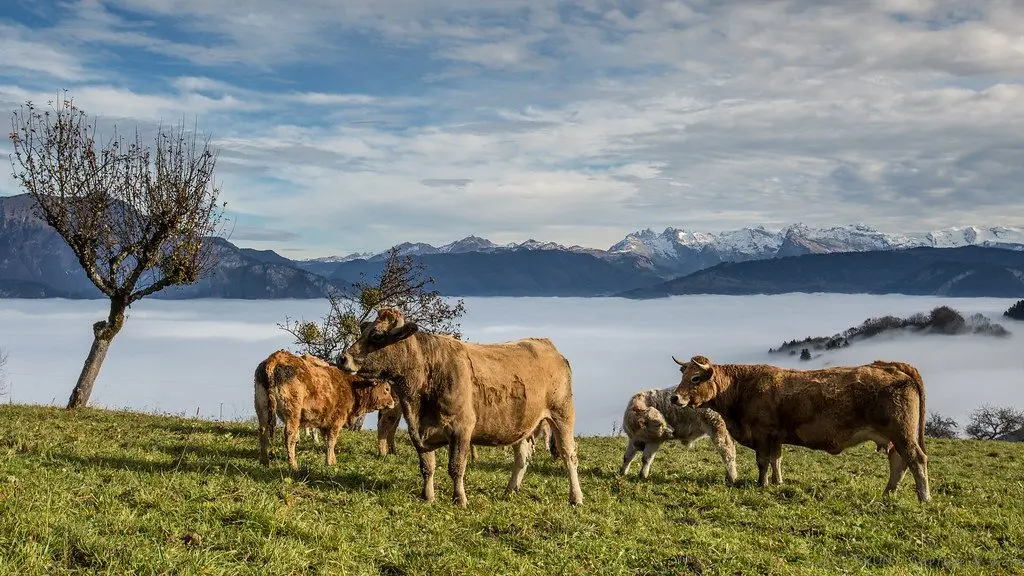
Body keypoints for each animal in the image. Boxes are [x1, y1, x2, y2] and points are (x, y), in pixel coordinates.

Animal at [254, 350, 397, 471]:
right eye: (387, 389)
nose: (393, 402)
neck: (350, 386)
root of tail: (276, 357)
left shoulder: (324, 422)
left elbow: (326, 441)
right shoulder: (336, 421)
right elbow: (331, 441)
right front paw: (331, 462)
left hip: (262, 407)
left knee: (263, 432)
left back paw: (264, 462)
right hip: (292, 412)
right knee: (289, 436)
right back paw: (293, 465)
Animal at [338, 307, 583, 507]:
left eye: (377, 336)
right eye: (364, 331)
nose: (343, 358)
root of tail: (545, 344)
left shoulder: (461, 428)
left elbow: (456, 467)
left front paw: (459, 499)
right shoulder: (417, 431)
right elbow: (427, 467)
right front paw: (428, 497)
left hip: (562, 414)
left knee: (569, 455)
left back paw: (576, 497)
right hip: (523, 423)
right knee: (523, 456)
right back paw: (510, 491)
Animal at [669, 355, 931, 502]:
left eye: (695, 378)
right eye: (683, 376)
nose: (674, 397)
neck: (742, 387)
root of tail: (892, 366)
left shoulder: (762, 433)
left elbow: (763, 461)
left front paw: (762, 484)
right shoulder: (776, 437)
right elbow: (776, 459)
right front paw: (778, 482)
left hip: (902, 433)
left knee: (916, 459)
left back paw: (924, 497)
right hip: (895, 437)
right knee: (899, 460)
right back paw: (889, 493)